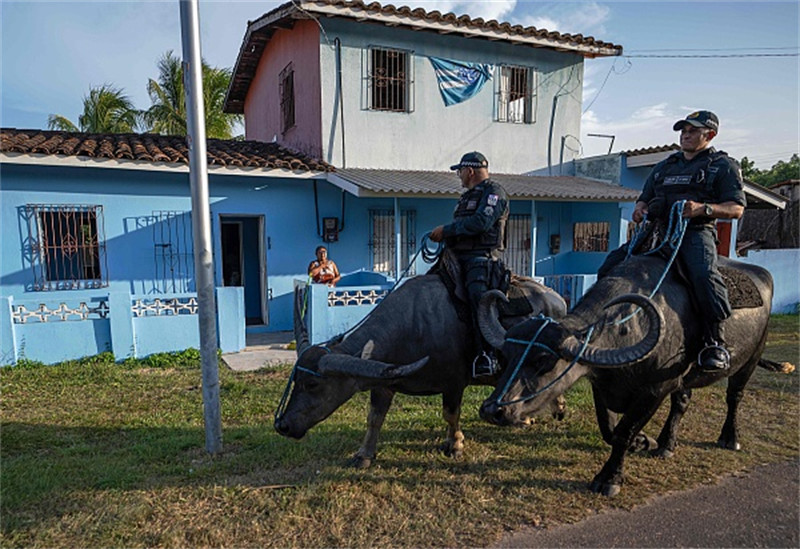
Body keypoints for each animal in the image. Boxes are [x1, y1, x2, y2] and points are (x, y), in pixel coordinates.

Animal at [272, 270, 564, 466]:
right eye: (295, 380)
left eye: (313, 384)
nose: (283, 425)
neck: (413, 326)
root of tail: (557, 299)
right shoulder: (384, 384)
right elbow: (374, 418)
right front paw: (364, 455)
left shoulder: (454, 384)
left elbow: (450, 415)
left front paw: (455, 445)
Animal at [478, 255, 780, 494]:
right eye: (507, 356)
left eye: (543, 361)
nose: (493, 410)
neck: (632, 325)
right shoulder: (602, 385)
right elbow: (609, 429)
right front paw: (643, 442)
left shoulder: (656, 389)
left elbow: (623, 431)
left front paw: (609, 478)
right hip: (688, 375)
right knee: (682, 402)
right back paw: (666, 444)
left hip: (752, 357)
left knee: (734, 396)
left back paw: (730, 438)